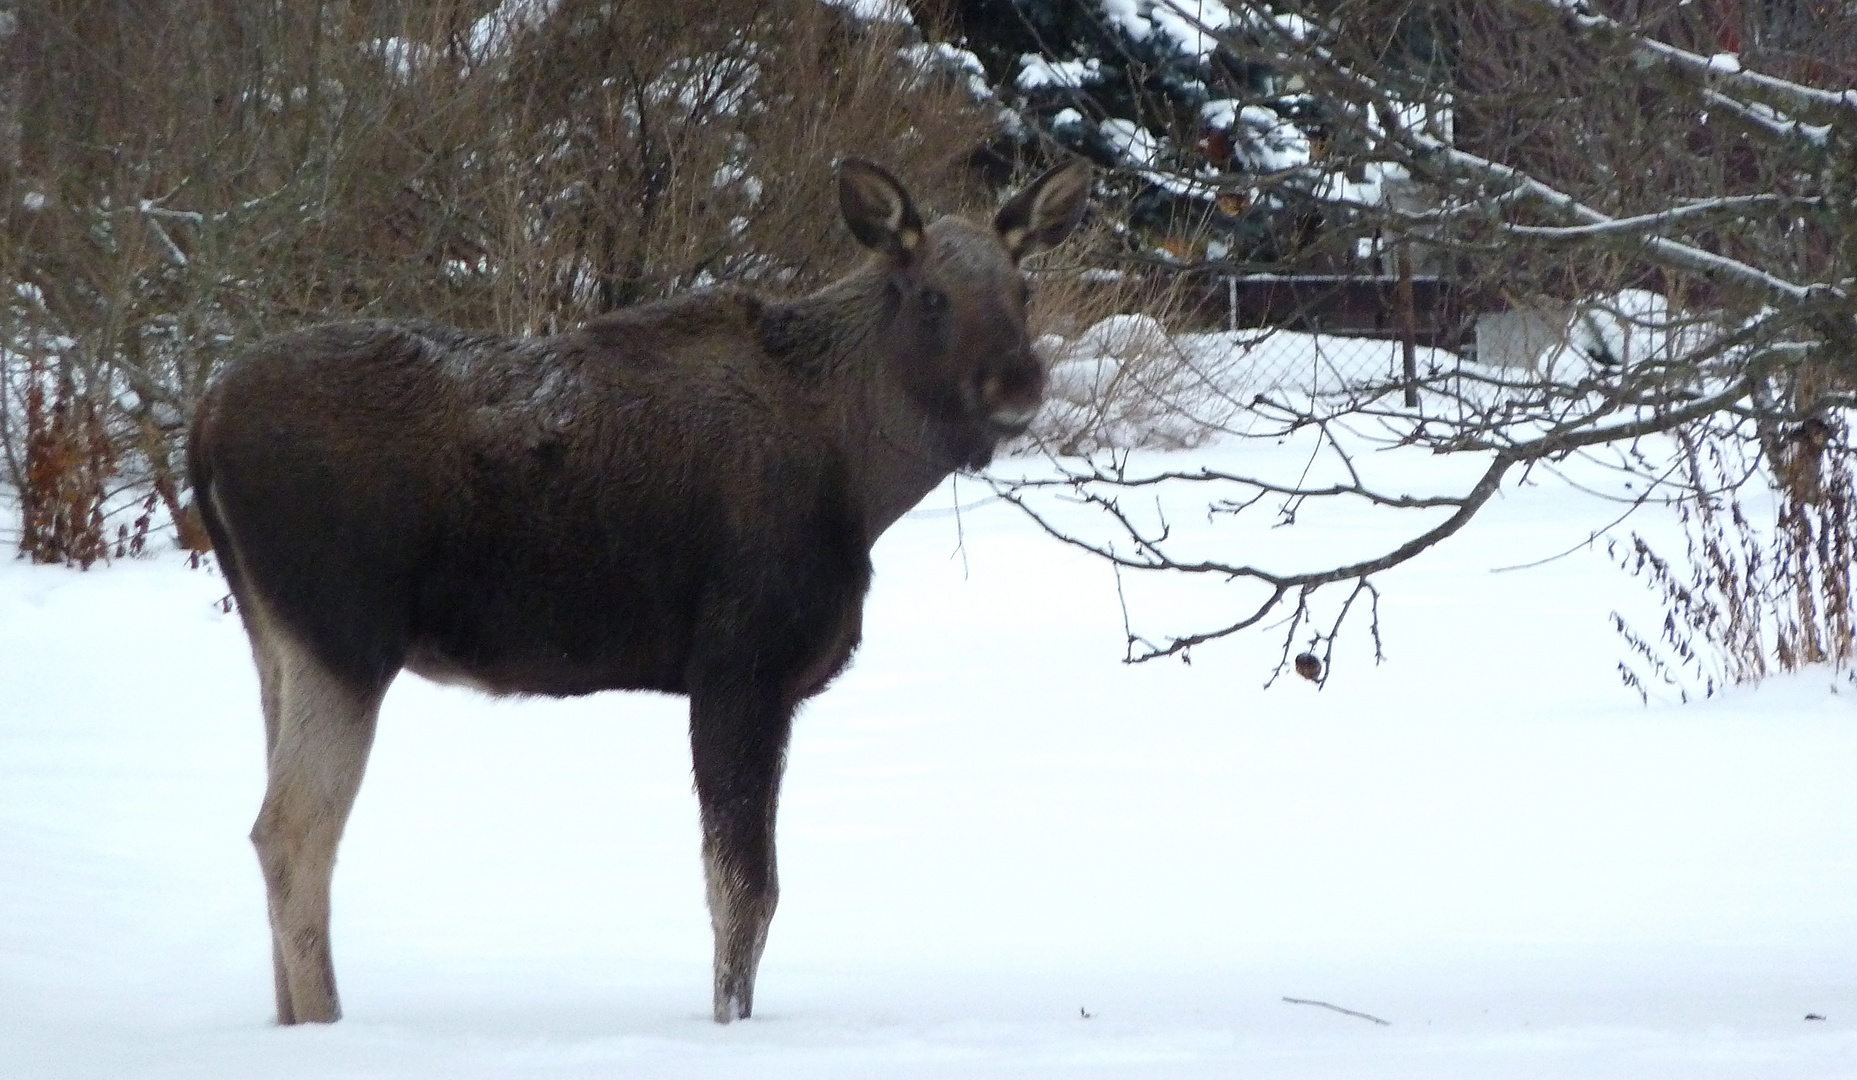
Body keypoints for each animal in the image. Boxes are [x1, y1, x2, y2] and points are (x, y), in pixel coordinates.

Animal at [188, 156, 1084, 1031]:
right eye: (931, 295)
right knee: (291, 834)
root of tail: (202, 420)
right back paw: (333, 1026)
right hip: (346, 637)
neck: (863, 478)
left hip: (276, 641)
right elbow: (745, 892)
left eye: (1023, 289)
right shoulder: (739, 664)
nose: (1018, 382)